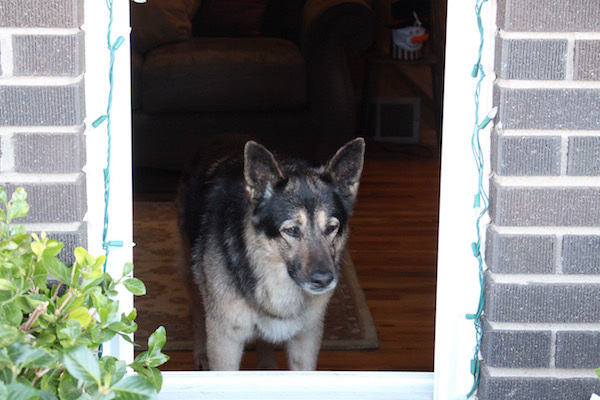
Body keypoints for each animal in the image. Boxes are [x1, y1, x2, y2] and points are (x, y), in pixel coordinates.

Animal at [177, 138, 366, 372]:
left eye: (331, 228)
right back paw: (201, 353)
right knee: (196, 312)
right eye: (291, 230)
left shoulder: (306, 340)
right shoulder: (226, 343)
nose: (324, 281)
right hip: (191, 273)